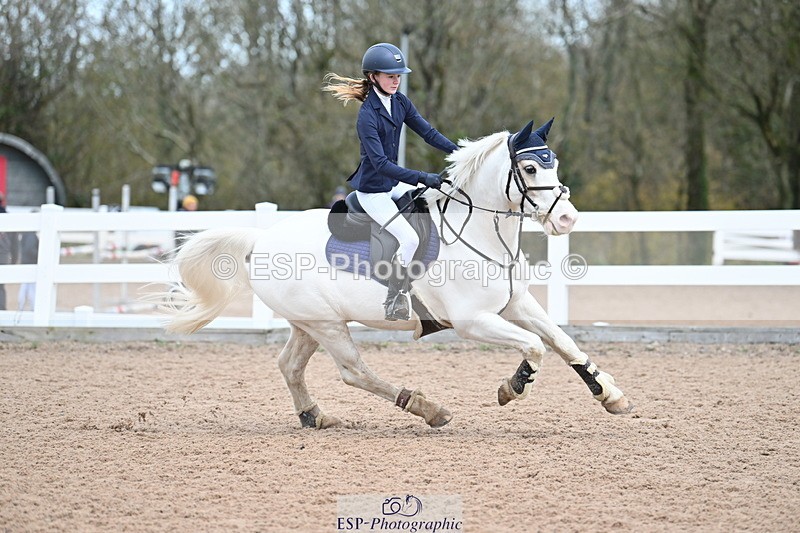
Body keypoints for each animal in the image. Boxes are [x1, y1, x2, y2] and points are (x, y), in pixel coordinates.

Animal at [157, 118, 633, 429]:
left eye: (554, 164)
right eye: (531, 168)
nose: (567, 219)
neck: (478, 230)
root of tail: (260, 240)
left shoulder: (516, 304)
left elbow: (563, 342)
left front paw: (611, 396)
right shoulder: (472, 321)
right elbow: (534, 346)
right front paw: (513, 387)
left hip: (309, 323)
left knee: (290, 365)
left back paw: (315, 416)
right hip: (327, 324)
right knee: (352, 371)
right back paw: (427, 408)